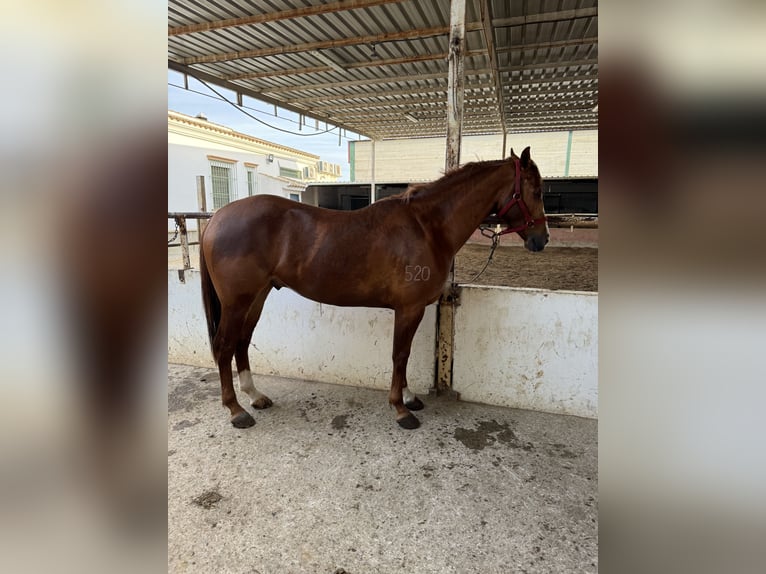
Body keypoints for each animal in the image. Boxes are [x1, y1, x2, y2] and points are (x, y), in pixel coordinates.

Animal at [201, 146, 548, 430]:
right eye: (537, 190)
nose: (541, 239)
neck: (427, 227)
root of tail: (218, 217)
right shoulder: (409, 308)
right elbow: (400, 354)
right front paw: (401, 409)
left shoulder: (412, 310)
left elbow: (404, 354)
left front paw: (408, 398)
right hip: (237, 302)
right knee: (224, 346)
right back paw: (236, 411)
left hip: (257, 297)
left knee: (242, 342)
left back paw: (255, 396)